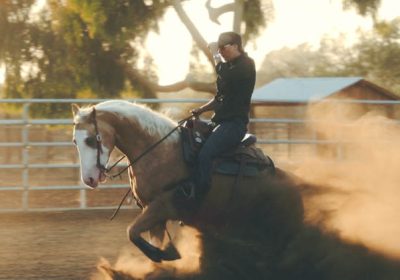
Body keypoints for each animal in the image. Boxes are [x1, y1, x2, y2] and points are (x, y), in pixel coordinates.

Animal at [72, 100, 304, 264]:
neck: (159, 151)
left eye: (90, 140)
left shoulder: (162, 206)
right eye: (75, 141)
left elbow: (132, 232)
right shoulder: (152, 212)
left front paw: (167, 253)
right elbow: (142, 237)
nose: (89, 178)